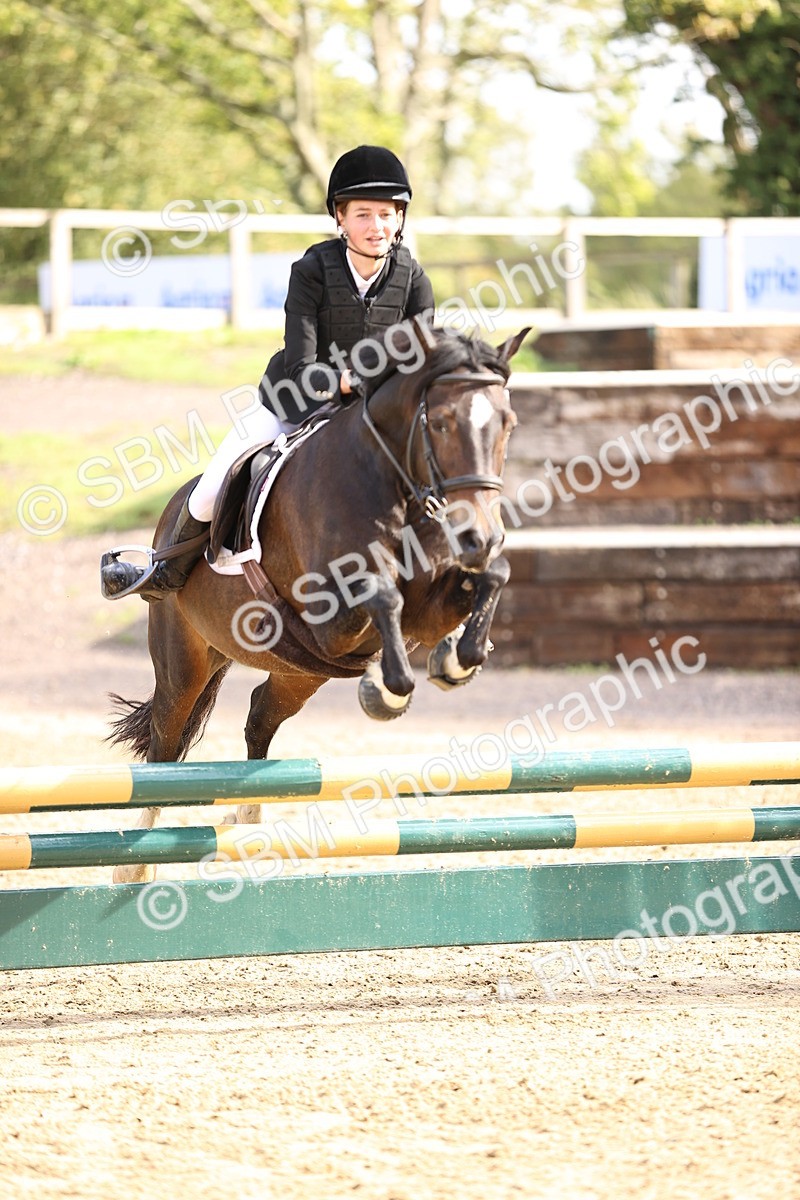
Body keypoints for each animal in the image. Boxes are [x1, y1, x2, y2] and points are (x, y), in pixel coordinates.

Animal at [107, 321, 529, 882]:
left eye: (507, 423)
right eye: (439, 423)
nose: (479, 535)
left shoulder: (425, 601)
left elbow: (491, 577)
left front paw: (457, 659)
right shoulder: (333, 617)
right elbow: (383, 594)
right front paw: (387, 692)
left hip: (297, 672)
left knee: (260, 715)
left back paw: (247, 817)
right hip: (184, 662)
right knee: (165, 745)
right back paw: (134, 865)